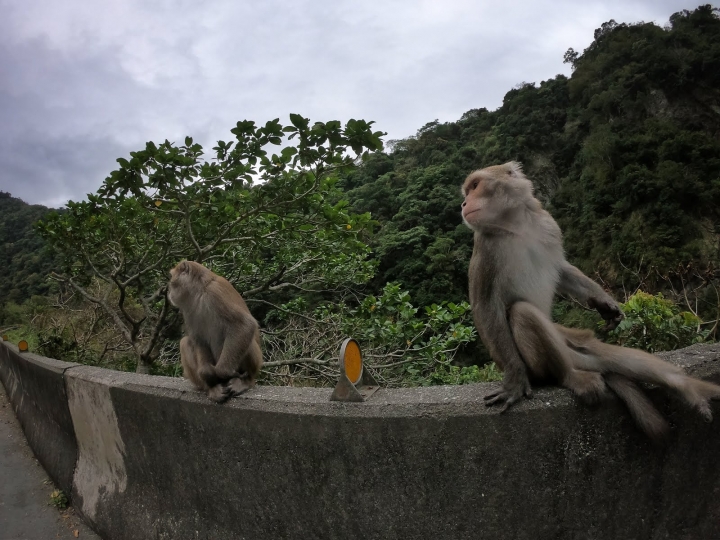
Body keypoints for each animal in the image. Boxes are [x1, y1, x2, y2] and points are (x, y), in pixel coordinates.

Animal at [167, 260, 262, 402]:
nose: (169, 291)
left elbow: (244, 324)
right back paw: (211, 387)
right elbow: (199, 340)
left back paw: (245, 381)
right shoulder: (188, 309)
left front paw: (223, 372)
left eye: (172, 278)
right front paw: (208, 375)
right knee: (185, 342)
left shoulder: (215, 292)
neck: (199, 291)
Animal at [462, 161, 720, 438]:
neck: (516, 225)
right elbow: (486, 306)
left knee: (617, 356)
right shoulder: (486, 248)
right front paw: (514, 380)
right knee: (523, 314)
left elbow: (561, 268)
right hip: (542, 364)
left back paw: (689, 389)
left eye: (475, 186)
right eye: (467, 190)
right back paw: (571, 377)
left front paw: (605, 303)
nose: (464, 203)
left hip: (574, 341)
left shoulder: (548, 225)